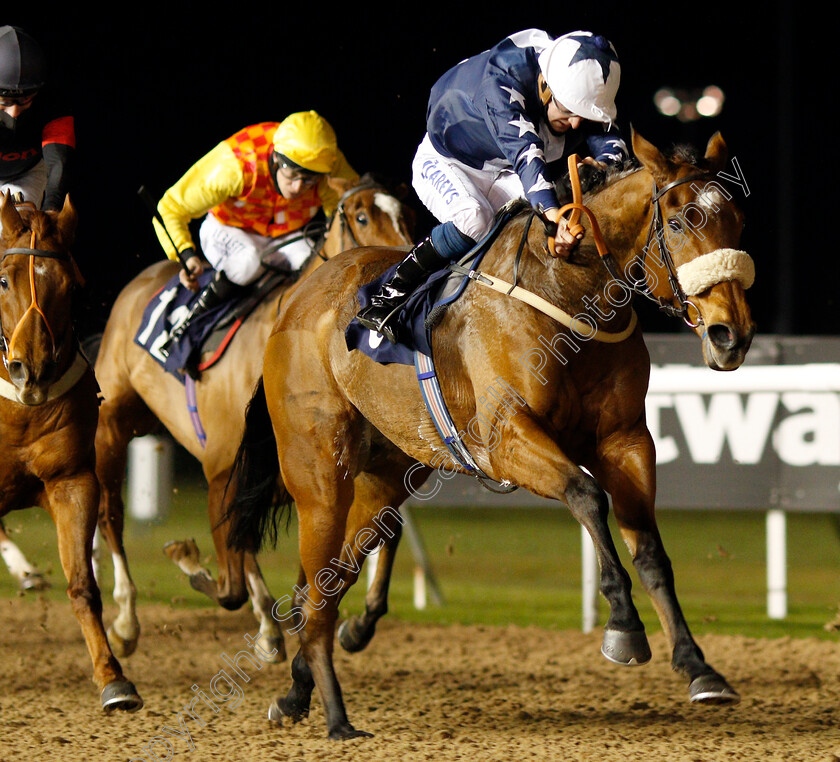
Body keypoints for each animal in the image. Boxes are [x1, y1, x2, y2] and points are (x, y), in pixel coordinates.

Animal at [0, 191, 143, 712]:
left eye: (72, 287)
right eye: (3, 279)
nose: (32, 369)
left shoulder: (72, 481)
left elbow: (83, 584)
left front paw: (113, 678)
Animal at [91, 175, 414, 664]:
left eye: (405, 213)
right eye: (361, 216)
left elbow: (371, 536)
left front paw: (352, 624)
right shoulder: (224, 470)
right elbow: (231, 586)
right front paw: (188, 560)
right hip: (114, 424)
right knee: (111, 514)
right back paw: (127, 622)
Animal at [226, 131, 756, 736]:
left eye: (737, 219)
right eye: (681, 220)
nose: (732, 334)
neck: (568, 286)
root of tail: (296, 297)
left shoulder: (625, 439)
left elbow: (650, 551)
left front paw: (698, 667)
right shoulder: (506, 439)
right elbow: (586, 495)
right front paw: (623, 625)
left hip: (384, 475)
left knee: (333, 574)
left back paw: (297, 690)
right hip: (317, 476)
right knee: (316, 577)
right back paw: (331, 709)